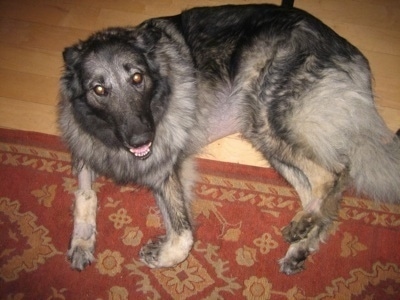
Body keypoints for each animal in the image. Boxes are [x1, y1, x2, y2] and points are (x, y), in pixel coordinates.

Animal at [57, 2, 400, 274]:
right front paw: (82, 242)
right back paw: (301, 242)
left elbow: (184, 236)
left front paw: (161, 255)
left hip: (266, 117)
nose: (141, 139)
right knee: (321, 192)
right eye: (99, 89)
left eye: (137, 78)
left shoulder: (166, 169)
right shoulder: (88, 148)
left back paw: (303, 225)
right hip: (265, 135)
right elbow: (85, 194)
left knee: (332, 174)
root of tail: (350, 52)